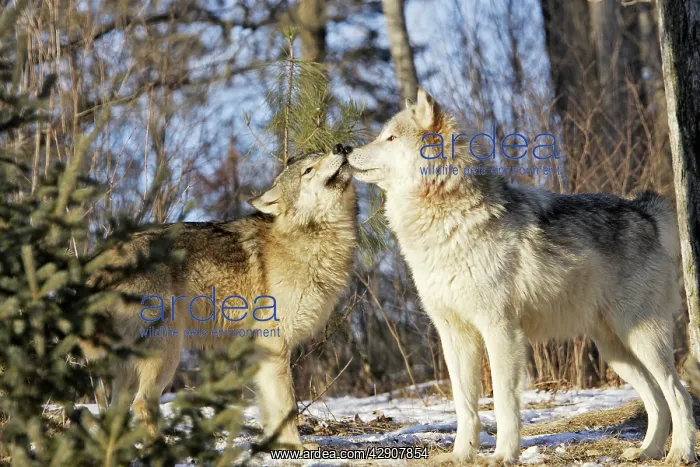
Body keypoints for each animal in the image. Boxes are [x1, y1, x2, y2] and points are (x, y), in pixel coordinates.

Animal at [84, 146, 357, 449]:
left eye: (323, 153)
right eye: (308, 170)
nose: (341, 147)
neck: (308, 236)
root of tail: (98, 264)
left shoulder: (262, 353)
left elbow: (271, 408)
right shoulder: (275, 344)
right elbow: (288, 405)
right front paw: (295, 446)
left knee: (117, 411)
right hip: (166, 353)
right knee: (141, 405)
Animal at [346, 88, 697, 465]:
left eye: (390, 137)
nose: (343, 149)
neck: (444, 217)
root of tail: (644, 210)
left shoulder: (501, 331)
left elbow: (502, 401)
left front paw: (503, 455)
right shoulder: (455, 335)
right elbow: (464, 405)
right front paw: (460, 455)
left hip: (642, 339)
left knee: (678, 393)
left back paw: (680, 452)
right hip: (615, 350)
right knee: (657, 400)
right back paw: (647, 451)